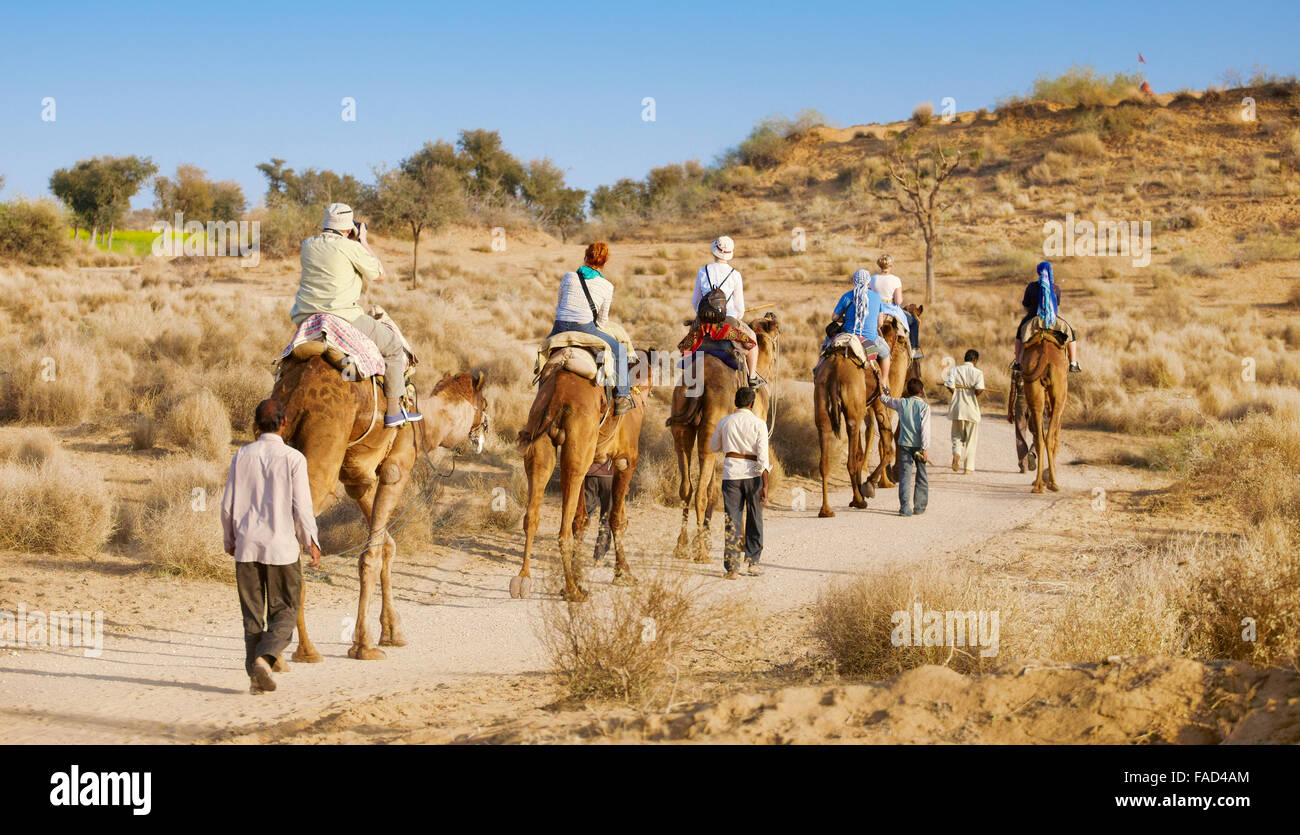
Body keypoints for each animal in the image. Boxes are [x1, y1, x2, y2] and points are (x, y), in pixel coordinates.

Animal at [271, 355, 488, 661]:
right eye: (486, 404)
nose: (484, 431)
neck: (425, 426)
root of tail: (296, 386)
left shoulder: (358, 479)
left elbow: (387, 545)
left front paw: (393, 632)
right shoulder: (396, 469)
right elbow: (370, 556)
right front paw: (364, 645)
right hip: (323, 440)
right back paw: (303, 650)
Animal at [514, 354, 646, 602]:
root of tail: (557, 395)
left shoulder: (591, 465)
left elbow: (582, 520)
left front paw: (583, 577)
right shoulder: (626, 461)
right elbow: (617, 519)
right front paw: (623, 573)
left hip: (542, 443)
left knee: (532, 516)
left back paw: (523, 579)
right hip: (577, 444)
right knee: (563, 530)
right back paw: (572, 591)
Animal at [668, 313, 780, 562]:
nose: (772, 314)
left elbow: (714, 489)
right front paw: (740, 544)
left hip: (683, 428)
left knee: (686, 487)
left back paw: (682, 546)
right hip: (709, 430)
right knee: (699, 492)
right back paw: (701, 553)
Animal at [813, 343, 892, 517]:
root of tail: (835, 370)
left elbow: (861, 452)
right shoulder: (879, 402)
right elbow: (889, 450)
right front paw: (869, 485)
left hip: (823, 406)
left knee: (824, 461)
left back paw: (826, 510)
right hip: (854, 414)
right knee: (851, 462)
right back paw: (859, 501)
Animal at [1019, 329, 1069, 492]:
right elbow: (1056, 437)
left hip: (1034, 390)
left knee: (1039, 438)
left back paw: (1038, 486)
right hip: (1059, 395)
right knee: (1050, 438)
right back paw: (1053, 484)